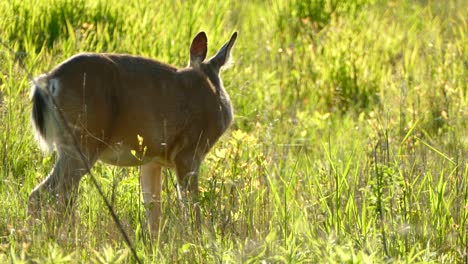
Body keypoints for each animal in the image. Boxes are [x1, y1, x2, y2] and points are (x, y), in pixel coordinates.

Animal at [28, 32, 238, 236]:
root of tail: (49, 80)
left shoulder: (151, 160)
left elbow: (153, 214)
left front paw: (155, 244)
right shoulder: (188, 153)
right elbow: (191, 207)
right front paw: (197, 239)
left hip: (72, 143)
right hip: (83, 141)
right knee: (44, 194)